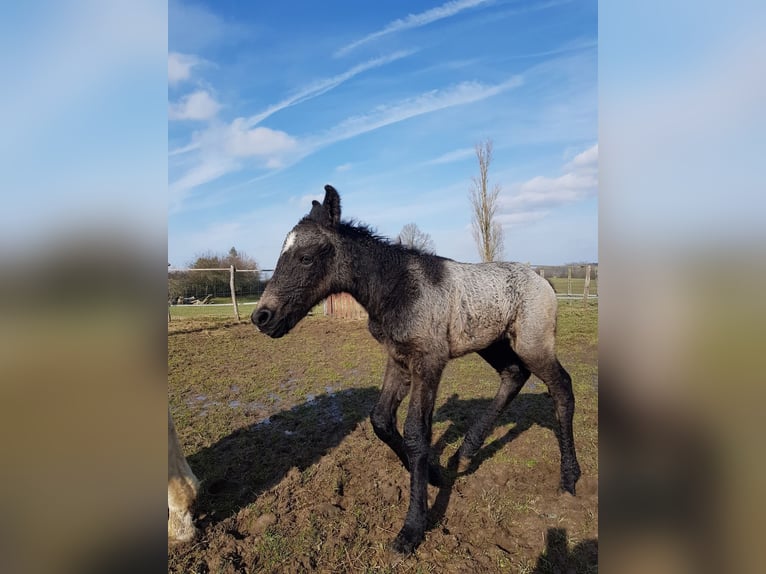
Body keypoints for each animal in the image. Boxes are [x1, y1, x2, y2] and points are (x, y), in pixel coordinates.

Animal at [253, 185, 580, 554]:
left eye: (306, 257)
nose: (262, 317)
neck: (398, 288)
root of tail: (542, 280)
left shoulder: (428, 363)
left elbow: (415, 432)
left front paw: (412, 528)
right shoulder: (398, 360)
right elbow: (381, 420)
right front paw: (434, 475)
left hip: (532, 344)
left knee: (561, 387)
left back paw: (569, 478)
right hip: (491, 343)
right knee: (514, 374)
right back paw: (465, 453)